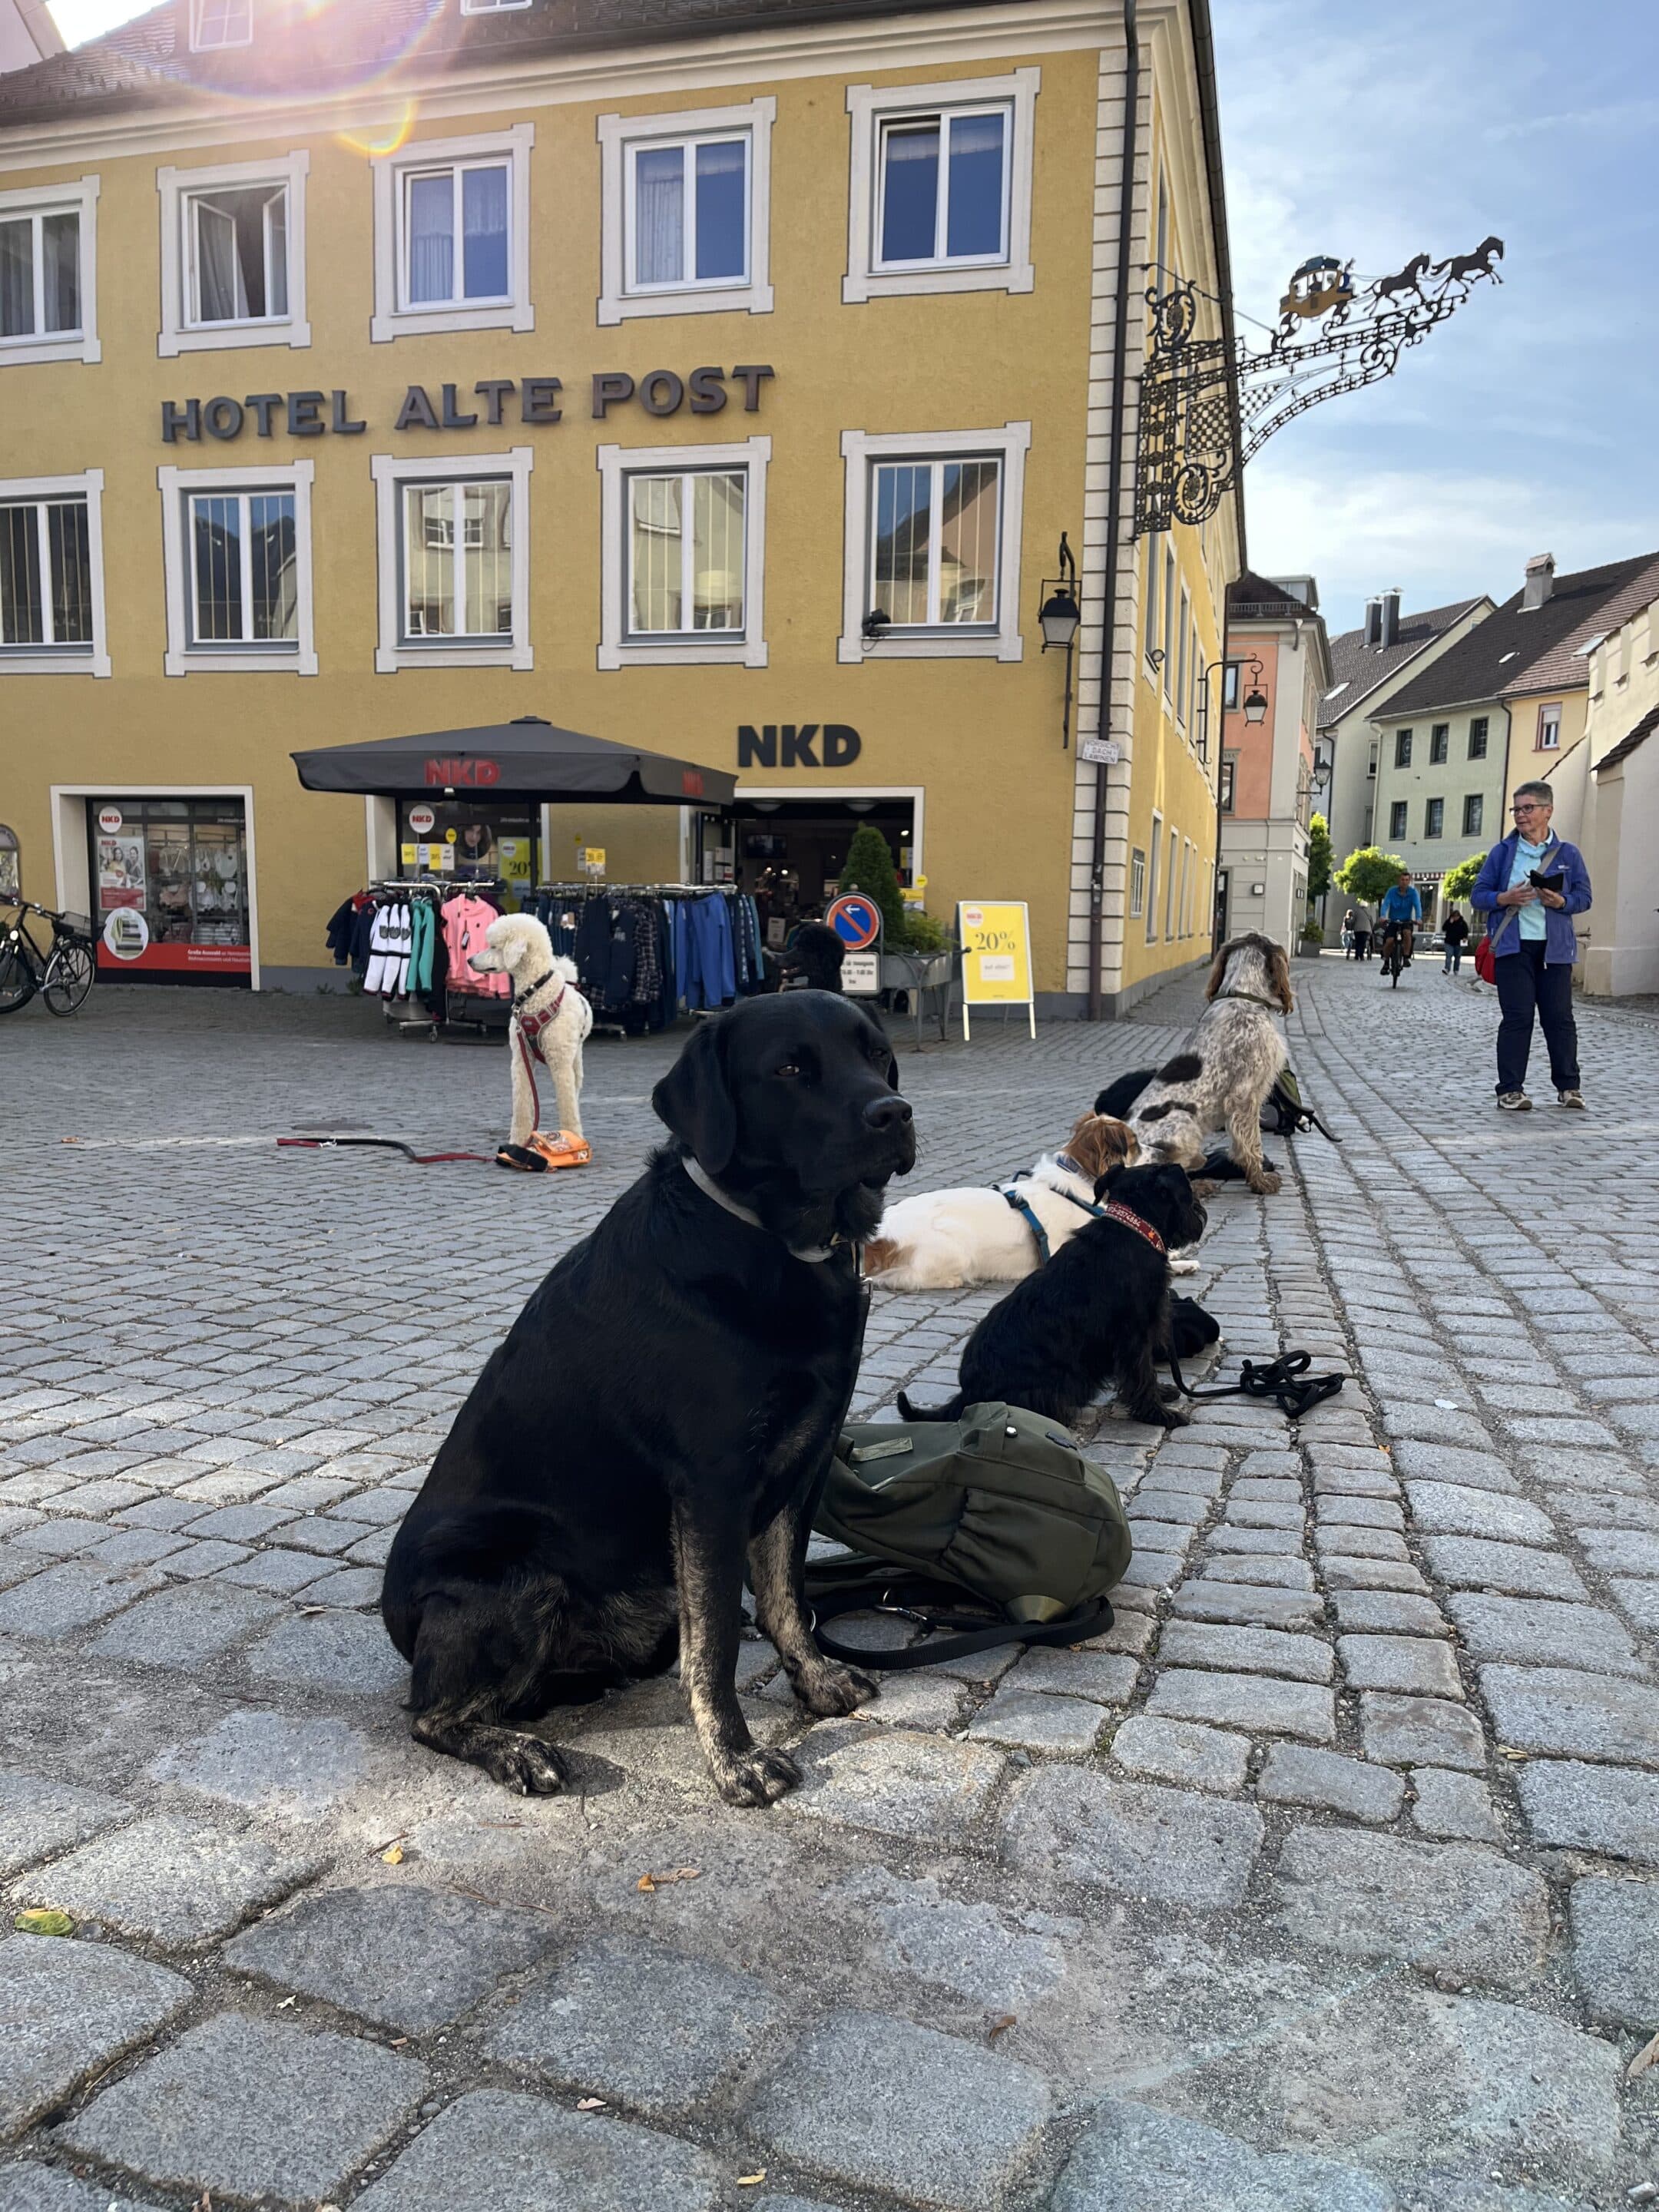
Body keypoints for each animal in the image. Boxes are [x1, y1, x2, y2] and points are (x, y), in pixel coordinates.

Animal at [381, 990, 915, 1807]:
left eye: (877, 1054)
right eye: (790, 1069)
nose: (895, 1112)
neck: (767, 1242)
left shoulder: (806, 1461)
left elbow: (786, 1595)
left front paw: (815, 1678)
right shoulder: (712, 1485)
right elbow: (718, 1639)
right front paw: (735, 1758)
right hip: (518, 1574)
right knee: (430, 1716)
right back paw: (515, 1749)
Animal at [467, 914, 594, 1149]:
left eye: (494, 946)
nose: (470, 960)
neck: (536, 993)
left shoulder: (560, 1061)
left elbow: (567, 1104)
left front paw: (573, 1138)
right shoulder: (520, 1059)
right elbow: (522, 1103)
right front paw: (518, 1142)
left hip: (575, 1059)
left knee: (574, 1092)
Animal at [862, 1110, 1139, 1293]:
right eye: (1135, 1144)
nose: (1151, 1148)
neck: (1078, 1177)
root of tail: (879, 1235)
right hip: (955, 1251)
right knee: (895, 1279)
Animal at [897, 1162, 1210, 1435]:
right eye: (1187, 1193)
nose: (1200, 1212)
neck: (1132, 1229)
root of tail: (968, 1394)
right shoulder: (1134, 1337)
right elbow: (1143, 1375)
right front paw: (1159, 1415)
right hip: (1056, 1385)